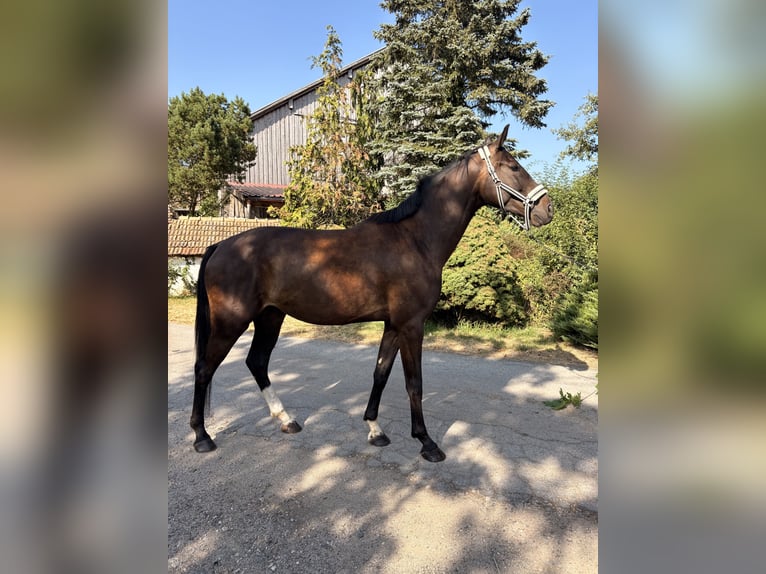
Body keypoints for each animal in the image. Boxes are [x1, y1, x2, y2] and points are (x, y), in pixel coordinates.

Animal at [190, 125, 553, 462]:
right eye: (513, 166)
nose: (547, 210)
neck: (415, 239)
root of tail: (221, 245)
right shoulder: (411, 325)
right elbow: (414, 383)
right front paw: (426, 442)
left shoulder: (393, 325)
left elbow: (380, 373)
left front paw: (375, 430)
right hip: (231, 322)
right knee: (205, 368)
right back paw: (201, 436)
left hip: (270, 317)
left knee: (257, 362)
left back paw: (286, 420)